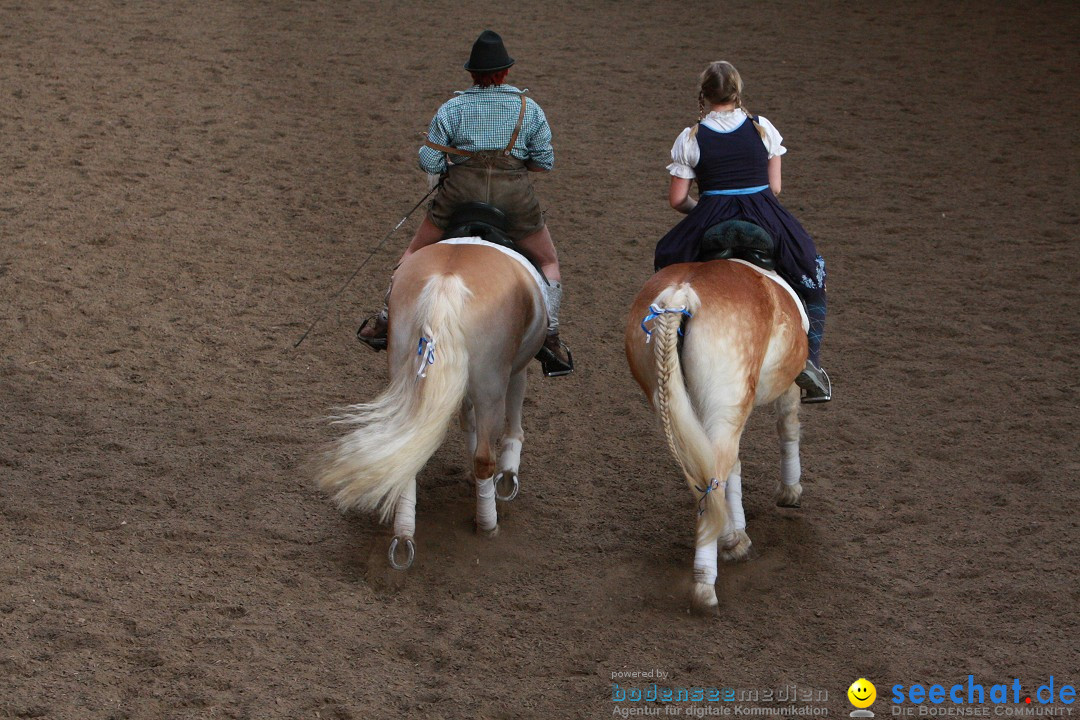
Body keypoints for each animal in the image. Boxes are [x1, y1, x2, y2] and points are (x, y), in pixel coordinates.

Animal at [315, 240, 548, 569]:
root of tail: (445, 283)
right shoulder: (515, 367)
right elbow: (512, 411)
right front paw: (507, 475)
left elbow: (466, 418)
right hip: (491, 383)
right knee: (484, 456)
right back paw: (488, 525)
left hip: (408, 370)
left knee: (407, 450)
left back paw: (404, 535)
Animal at [626, 259, 812, 613]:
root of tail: (682, 294)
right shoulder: (789, 384)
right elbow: (789, 425)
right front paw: (790, 491)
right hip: (726, 409)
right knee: (716, 475)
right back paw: (706, 581)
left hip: (676, 405)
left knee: (709, 474)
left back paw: (730, 539)